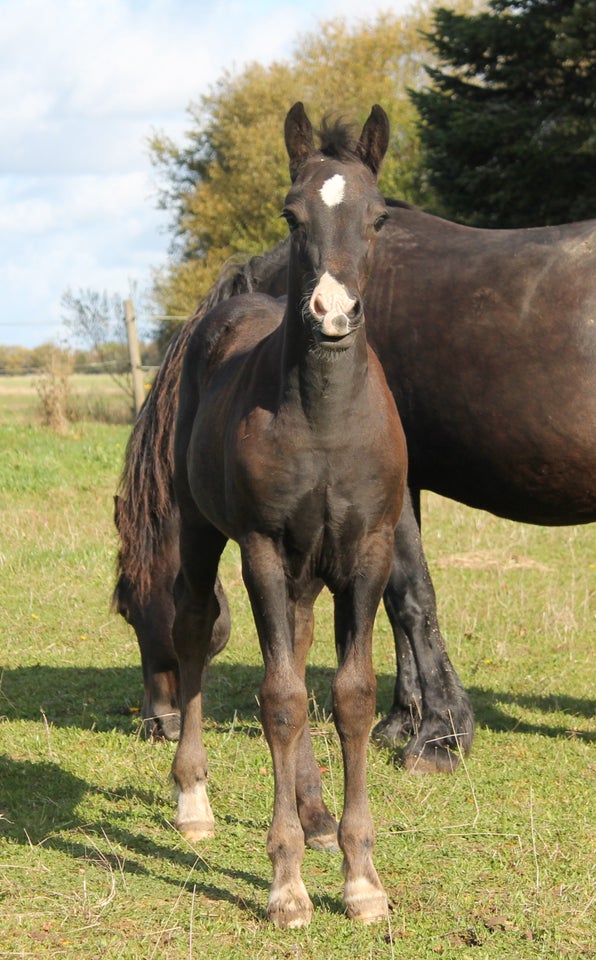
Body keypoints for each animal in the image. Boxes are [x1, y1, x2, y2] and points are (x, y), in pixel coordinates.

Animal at [114, 144, 596, 772]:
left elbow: (412, 595)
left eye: (128, 608)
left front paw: (439, 736)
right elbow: (396, 601)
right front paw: (403, 719)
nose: (158, 723)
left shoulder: (391, 493)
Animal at [170, 101, 408, 928]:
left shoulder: (368, 552)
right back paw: (194, 803)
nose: (333, 313)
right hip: (201, 531)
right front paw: (288, 884)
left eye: (378, 216)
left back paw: (315, 814)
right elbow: (278, 700)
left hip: (310, 571)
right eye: (290, 213)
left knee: (299, 657)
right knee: (192, 631)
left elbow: (350, 696)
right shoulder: (264, 550)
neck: (327, 420)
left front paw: (362, 878)